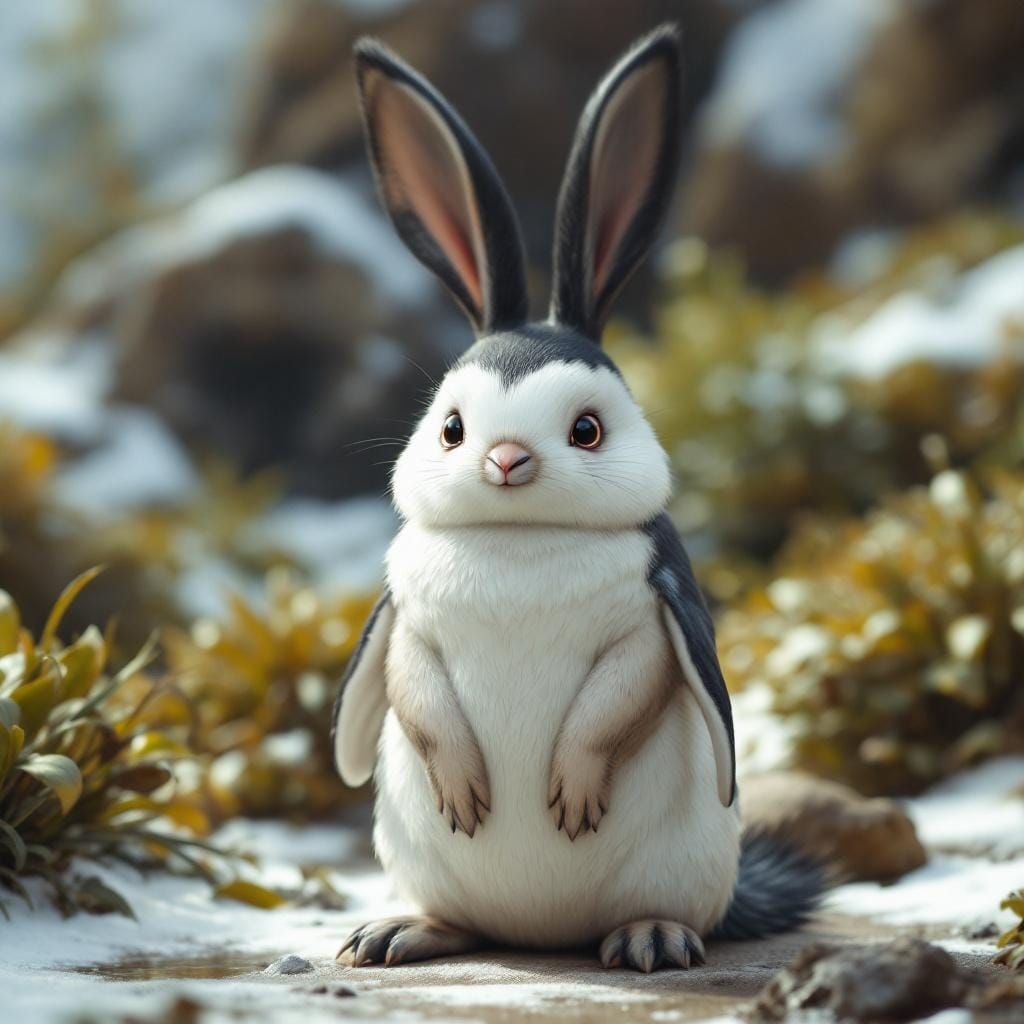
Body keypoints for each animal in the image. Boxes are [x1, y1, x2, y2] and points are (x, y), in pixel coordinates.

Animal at [333, 24, 824, 973]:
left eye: (587, 430)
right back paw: (404, 930)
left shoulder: (654, 600)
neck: (520, 542)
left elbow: (619, 697)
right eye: (452, 429)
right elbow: (414, 683)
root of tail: (539, 936)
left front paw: (570, 789)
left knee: (664, 906)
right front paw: (468, 788)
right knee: (462, 916)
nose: (507, 459)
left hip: (683, 864)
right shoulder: (407, 609)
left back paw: (651, 937)